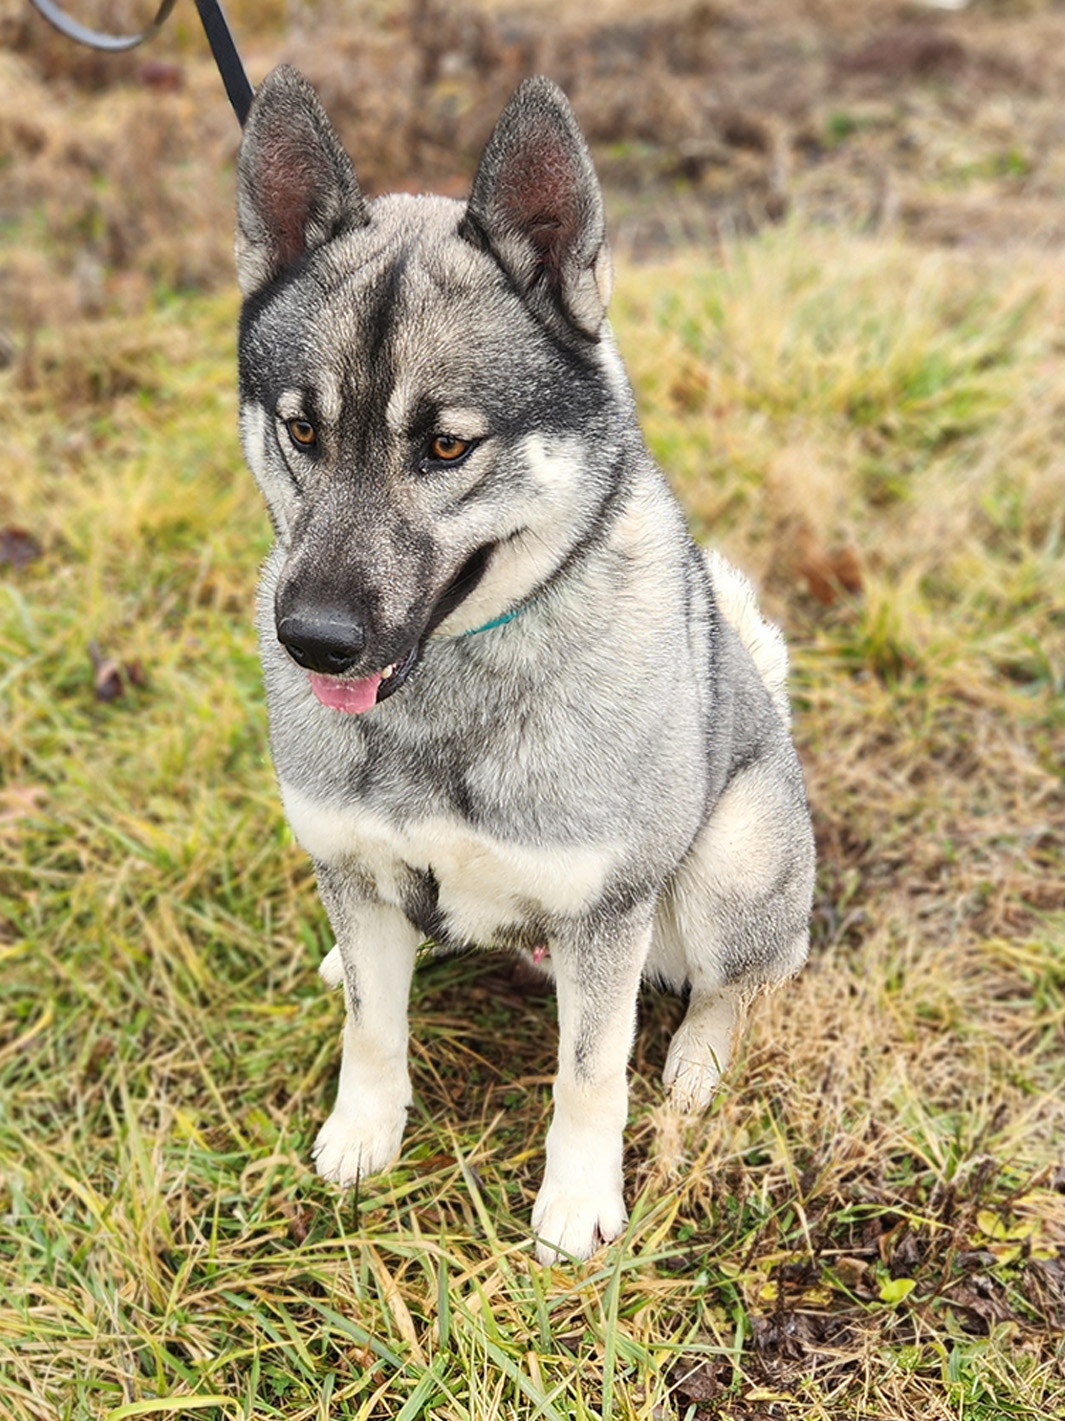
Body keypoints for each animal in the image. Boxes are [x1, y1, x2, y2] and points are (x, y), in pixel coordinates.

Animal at [234, 69, 813, 1267]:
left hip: (730, 861)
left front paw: (576, 1200)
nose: (313, 638)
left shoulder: (604, 912)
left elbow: (590, 1072)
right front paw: (363, 1131)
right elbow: (372, 1024)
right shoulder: (352, 862)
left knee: (735, 982)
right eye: (301, 430)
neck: (444, 694)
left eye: (447, 445)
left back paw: (699, 1056)